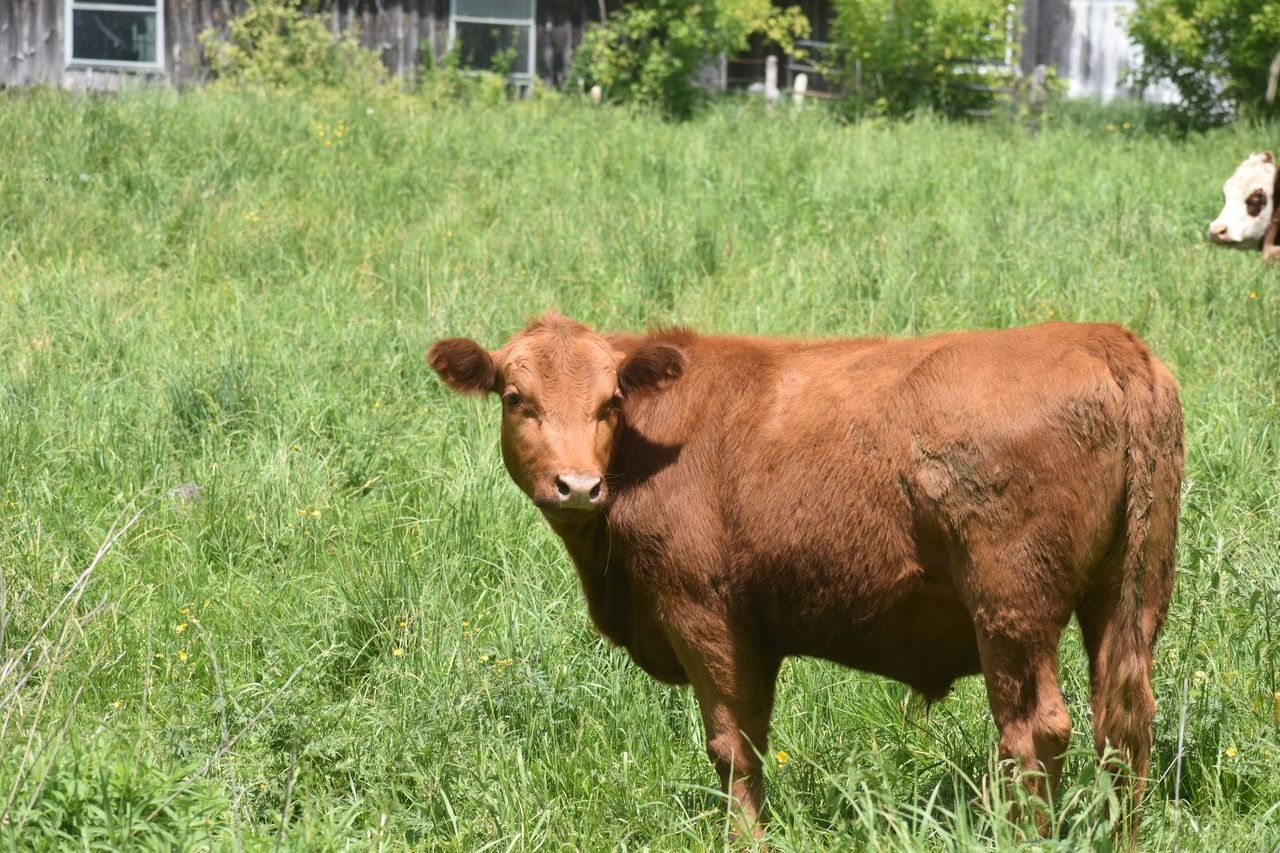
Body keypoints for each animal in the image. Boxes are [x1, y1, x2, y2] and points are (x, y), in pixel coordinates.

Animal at [429, 314, 1184, 839]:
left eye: (611, 400)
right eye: (516, 398)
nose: (578, 485)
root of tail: (1105, 340)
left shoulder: (701, 610)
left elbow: (733, 746)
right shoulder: (756, 633)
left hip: (1011, 605)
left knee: (1035, 730)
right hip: (1129, 592)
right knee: (1124, 719)